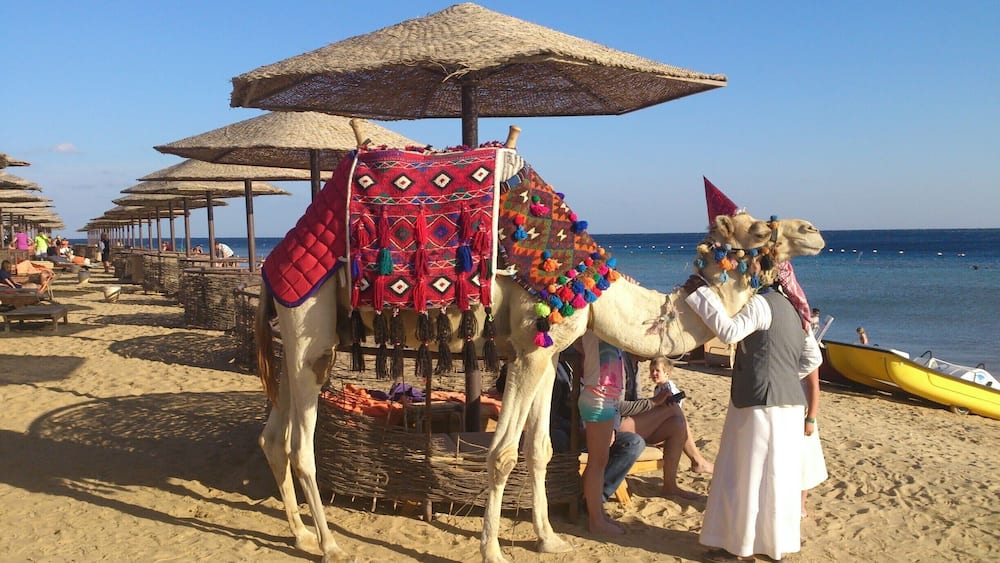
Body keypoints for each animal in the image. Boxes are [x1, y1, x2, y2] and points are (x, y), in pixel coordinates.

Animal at [254, 137, 825, 563]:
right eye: (759, 229)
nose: (815, 230)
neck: (593, 287)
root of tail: (270, 262)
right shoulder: (528, 349)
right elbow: (503, 452)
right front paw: (492, 551)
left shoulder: (547, 356)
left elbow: (541, 449)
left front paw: (549, 538)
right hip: (308, 323)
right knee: (300, 445)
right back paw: (328, 544)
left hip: (309, 344)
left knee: (273, 436)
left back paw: (299, 533)